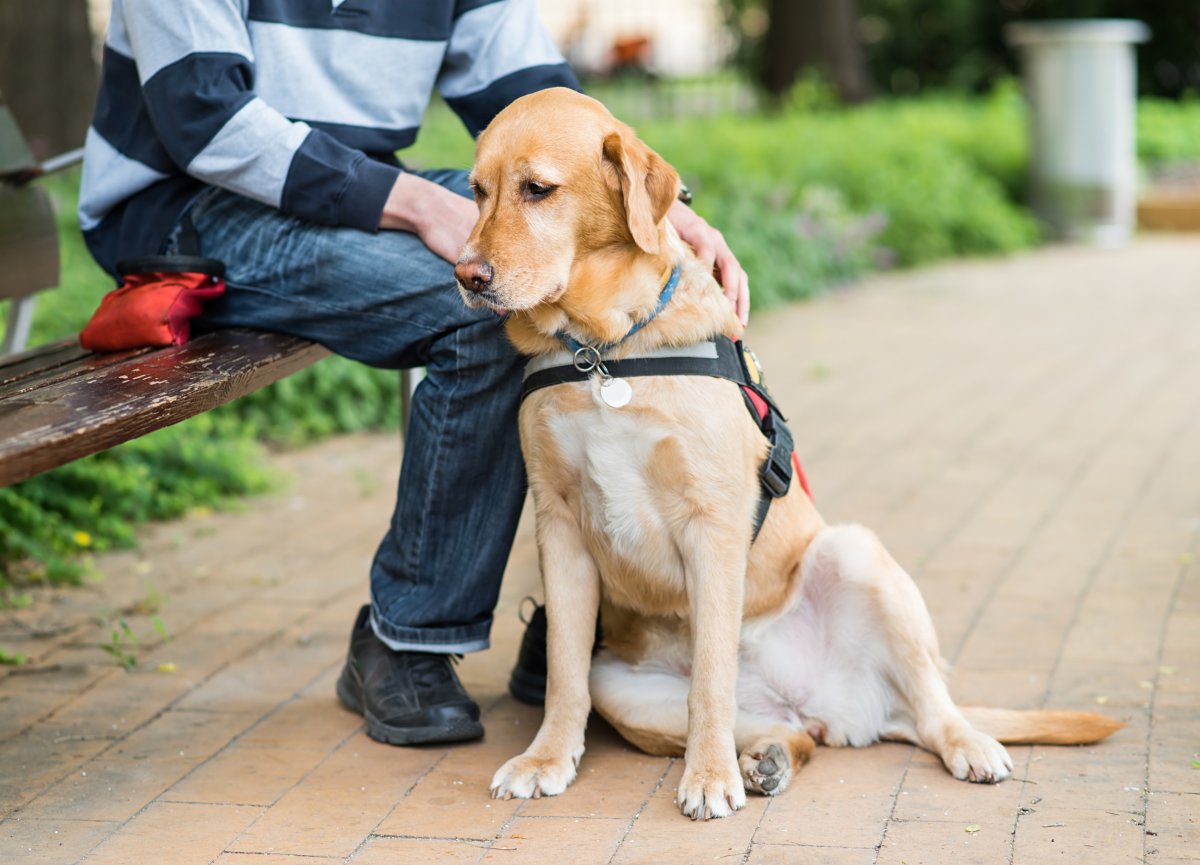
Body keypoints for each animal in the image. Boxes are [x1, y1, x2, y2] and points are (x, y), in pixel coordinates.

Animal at [453, 87, 1118, 815]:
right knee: (795, 736)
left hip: (858, 554)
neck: (604, 354)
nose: (466, 274)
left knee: (930, 700)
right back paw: (766, 756)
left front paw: (708, 776)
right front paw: (547, 757)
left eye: (538, 188)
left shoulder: (713, 524)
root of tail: (834, 705)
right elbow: (563, 674)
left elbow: (711, 675)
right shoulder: (560, 524)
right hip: (626, 688)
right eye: (477, 190)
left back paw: (963, 743)